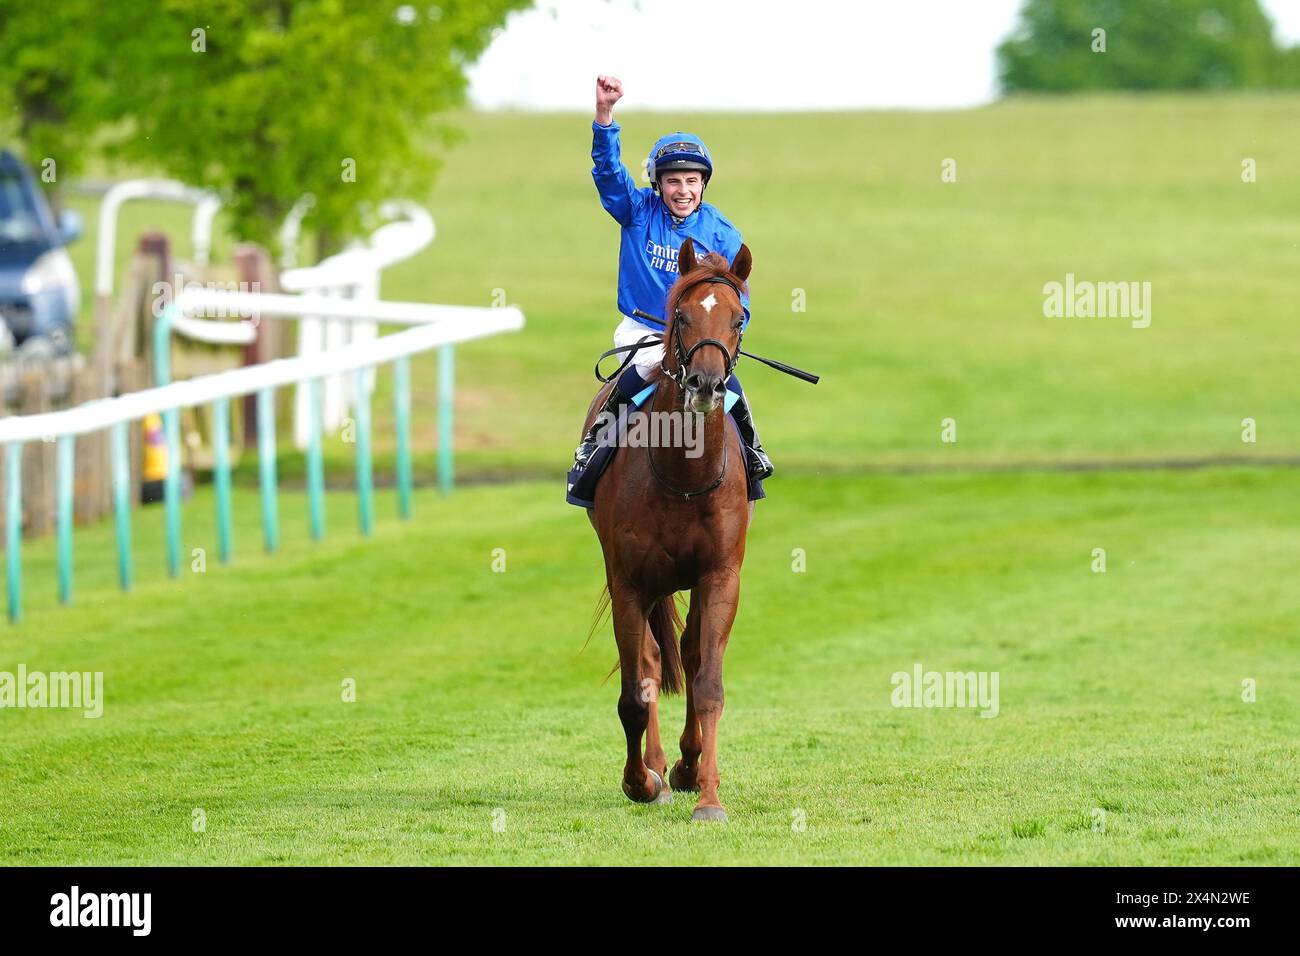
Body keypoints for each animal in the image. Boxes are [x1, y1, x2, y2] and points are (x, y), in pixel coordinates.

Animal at [582, 238, 754, 822]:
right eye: (681, 315)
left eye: (738, 318)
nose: (705, 384)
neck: (682, 477)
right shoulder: (629, 581)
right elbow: (635, 694)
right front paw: (640, 781)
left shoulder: (720, 575)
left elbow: (709, 683)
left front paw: (708, 795)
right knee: (652, 663)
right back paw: (658, 768)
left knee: (690, 653)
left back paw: (684, 766)